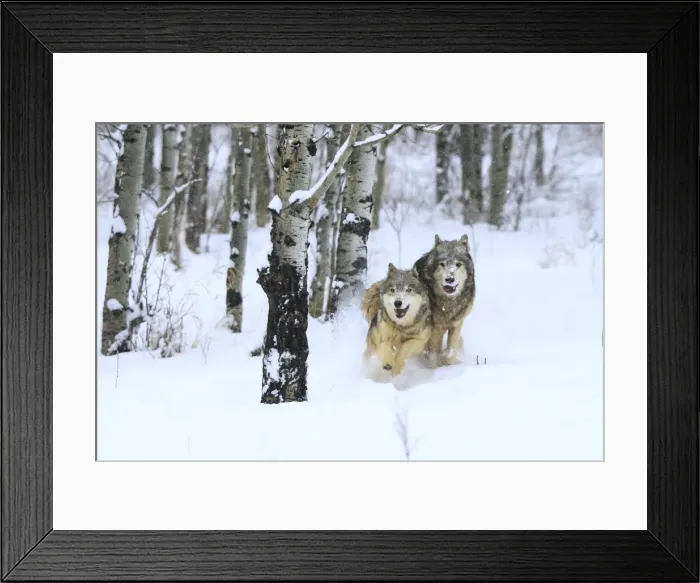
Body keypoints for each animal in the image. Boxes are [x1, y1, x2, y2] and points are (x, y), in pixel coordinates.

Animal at [412, 233, 475, 365]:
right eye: (442, 264)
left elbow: (450, 352)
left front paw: (448, 361)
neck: (448, 303)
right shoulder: (436, 328)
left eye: (458, 264)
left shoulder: (457, 324)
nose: (449, 279)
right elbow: (433, 354)